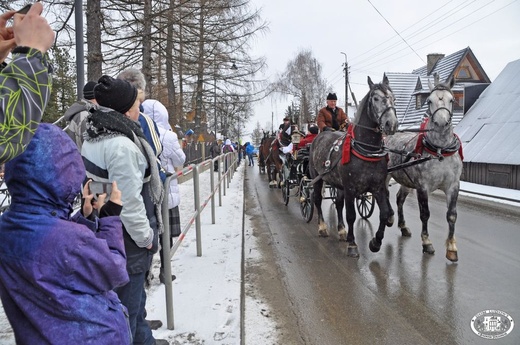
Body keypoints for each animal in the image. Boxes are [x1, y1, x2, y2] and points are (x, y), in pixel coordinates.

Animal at [308, 76, 398, 258]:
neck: (367, 151)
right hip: (318, 179)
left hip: (338, 184)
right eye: (375, 98)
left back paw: (341, 231)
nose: (391, 124)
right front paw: (352, 244)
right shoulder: (350, 188)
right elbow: (351, 215)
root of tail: (319, 136)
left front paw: (375, 242)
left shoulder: (378, 187)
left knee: (338, 203)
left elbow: (384, 214)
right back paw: (322, 227)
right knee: (318, 200)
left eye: (393, 98)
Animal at [386, 76, 464, 260]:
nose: (442, 122)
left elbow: (452, 215)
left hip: (405, 180)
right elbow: (425, 214)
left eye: (452, 100)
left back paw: (403, 226)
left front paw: (451, 248)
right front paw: (426, 242)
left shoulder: (453, 186)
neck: (440, 151)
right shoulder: (422, 187)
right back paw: (389, 218)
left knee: (399, 199)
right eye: (429, 100)